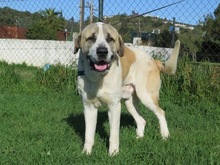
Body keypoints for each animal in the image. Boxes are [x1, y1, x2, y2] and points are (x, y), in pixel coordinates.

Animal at [74, 21, 180, 155]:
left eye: (110, 39)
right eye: (91, 38)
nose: (102, 51)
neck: (97, 77)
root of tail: (154, 60)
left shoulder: (114, 107)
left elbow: (113, 135)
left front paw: (113, 153)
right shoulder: (89, 107)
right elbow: (89, 134)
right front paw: (86, 152)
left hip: (146, 97)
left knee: (161, 112)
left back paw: (165, 135)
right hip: (130, 103)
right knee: (141, 120)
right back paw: (139, 138)